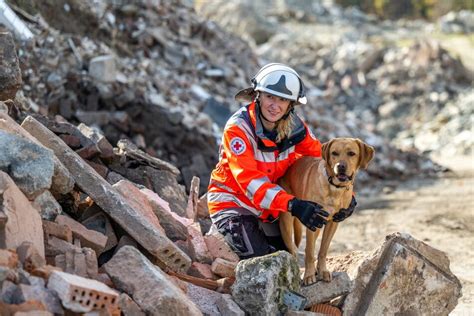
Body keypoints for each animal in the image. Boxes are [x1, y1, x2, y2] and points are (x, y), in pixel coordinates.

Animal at [278, 138, 374, 284]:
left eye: (351, 153)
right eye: (334, 153)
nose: (341, 166)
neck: (334, 188)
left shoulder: (332, 222)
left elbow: (323, 250)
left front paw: (322, 270)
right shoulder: (312, 219)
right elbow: (309, 251)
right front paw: (309, 275)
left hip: (317, 225)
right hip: (287, 224)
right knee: (293, 251)